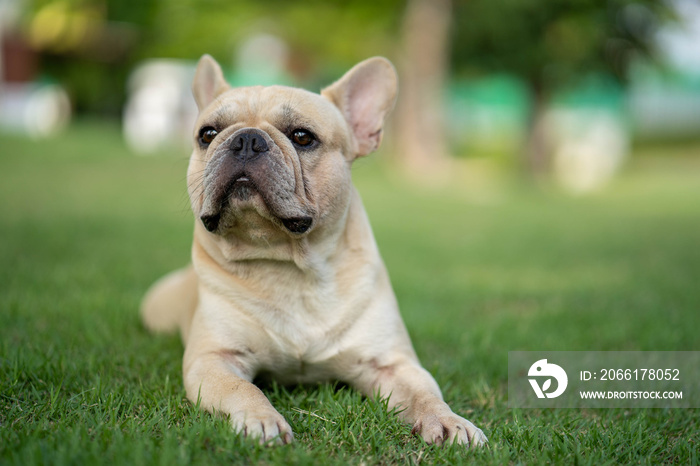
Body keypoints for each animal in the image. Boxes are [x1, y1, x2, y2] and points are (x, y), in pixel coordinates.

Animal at [142, 54, 486, 448]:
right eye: (208, 134)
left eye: (302, 137)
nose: (246, 139)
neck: (288, 265)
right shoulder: (213, 358)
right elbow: (242, 389)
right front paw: (262, 419)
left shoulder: (392, 364)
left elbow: (426, 394)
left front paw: (448, 421)